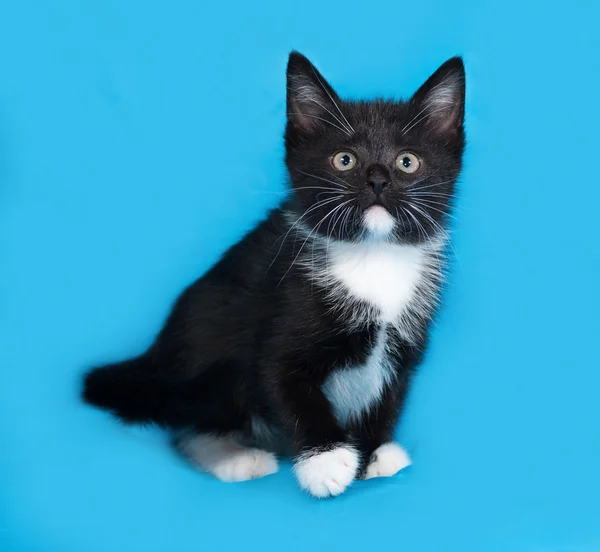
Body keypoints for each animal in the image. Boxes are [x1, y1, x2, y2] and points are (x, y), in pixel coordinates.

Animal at [84, 51, 466, 498]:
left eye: (407, 162)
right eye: (344, 160)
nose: (377, 179)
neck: (373, 259)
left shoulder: (403, 344)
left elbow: (387, 396)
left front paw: (375, 454)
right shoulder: (282, 310)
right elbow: (287, 385)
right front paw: (327, 462)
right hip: (207, 339)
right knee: (192, 421)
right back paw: (233, 457)